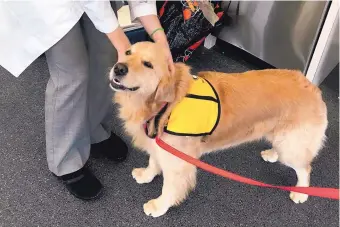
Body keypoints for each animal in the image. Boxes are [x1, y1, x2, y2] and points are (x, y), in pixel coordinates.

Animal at [109, 41, 326, 217]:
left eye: (148, 64)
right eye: (127, 52)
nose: (118, 68)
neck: (165, 105)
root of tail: (313, 87)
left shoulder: (178, 161)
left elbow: (169, 188)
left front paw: (158, 206)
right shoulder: (159, 144)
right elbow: (153, 162)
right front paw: (146, 175)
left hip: (292, 144)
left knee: (305, 167)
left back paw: (300, 192)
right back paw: (272, 154)